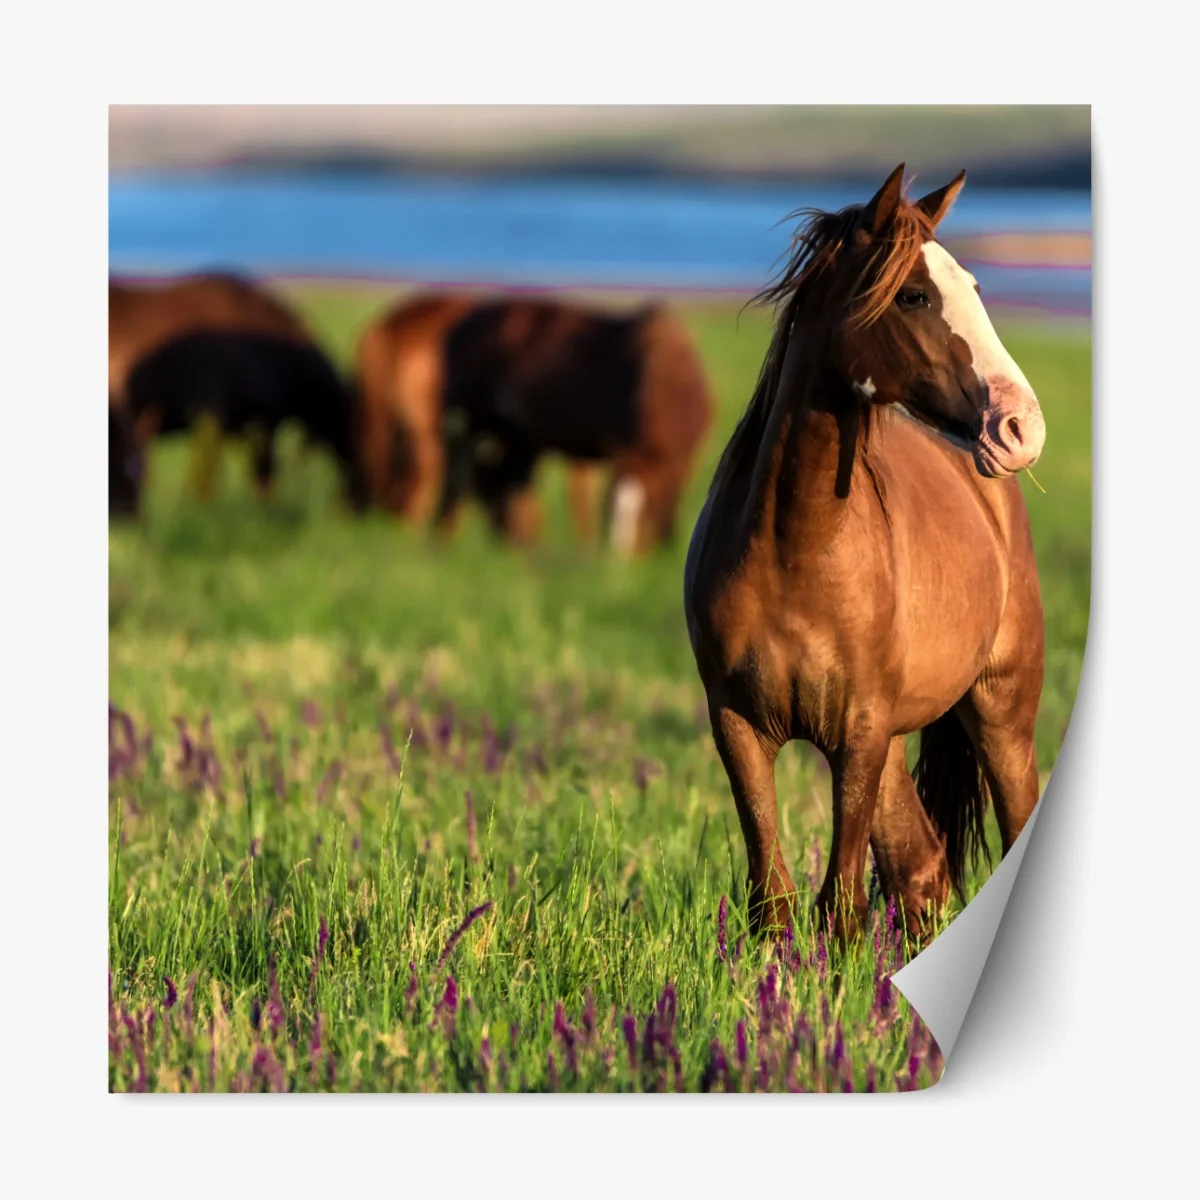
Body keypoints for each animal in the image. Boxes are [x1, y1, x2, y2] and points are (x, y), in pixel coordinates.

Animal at [436, 296, 715, 553]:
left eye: (649, 508)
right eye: (608, 508)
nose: (619, 564)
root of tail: (460, 327)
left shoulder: (684, 460)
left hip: (511, 438)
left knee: (499, 486)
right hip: (466, 427)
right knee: (457, 481)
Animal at [684, 165, 1046, 944]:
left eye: (975, 286)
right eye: (913, 295)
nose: (1020, 427)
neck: (797, 549)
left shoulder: (861, 732)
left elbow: (840, 904)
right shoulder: (739, 727)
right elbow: (774, 900)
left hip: (1001, 715)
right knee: (923, 870)